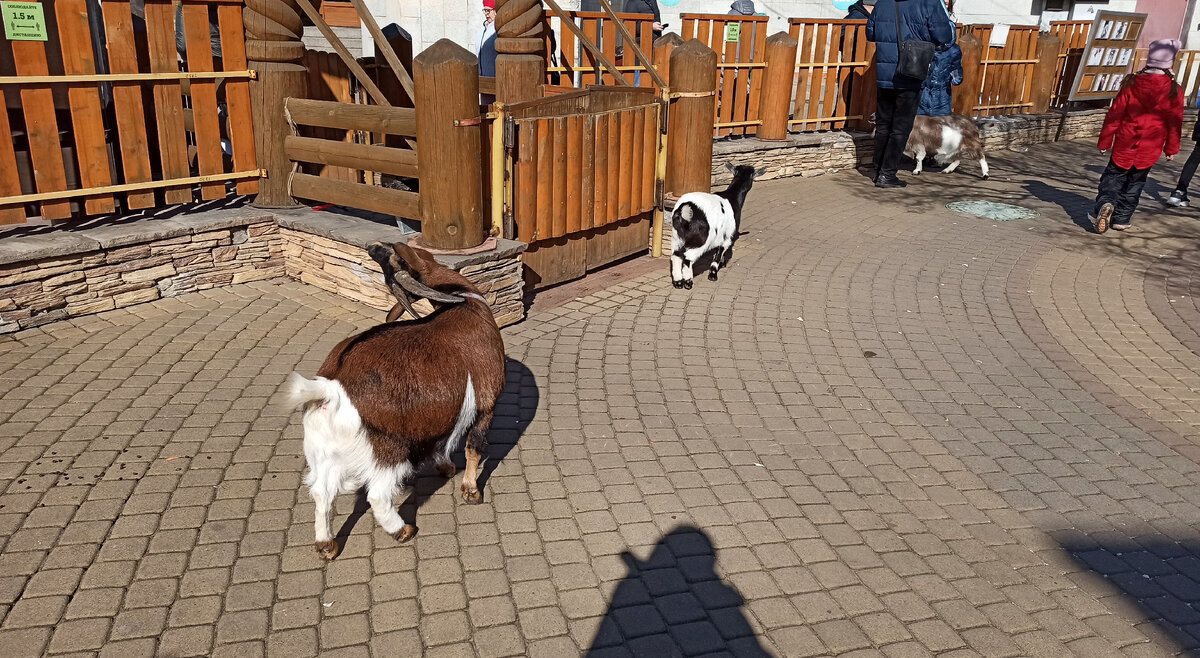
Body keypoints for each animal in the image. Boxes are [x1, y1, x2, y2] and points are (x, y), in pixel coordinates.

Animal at [286, 241, 506, 559]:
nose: (373, 246)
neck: (464, 301)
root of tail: (331, 389)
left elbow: (440, 442)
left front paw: (445, 468)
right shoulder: (487, 402)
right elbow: (473, 448)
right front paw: (471, 491)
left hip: (320, 452)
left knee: (321, 493)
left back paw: (327, 545)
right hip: (389, 449)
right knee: (377, 495)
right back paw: (402, 530)